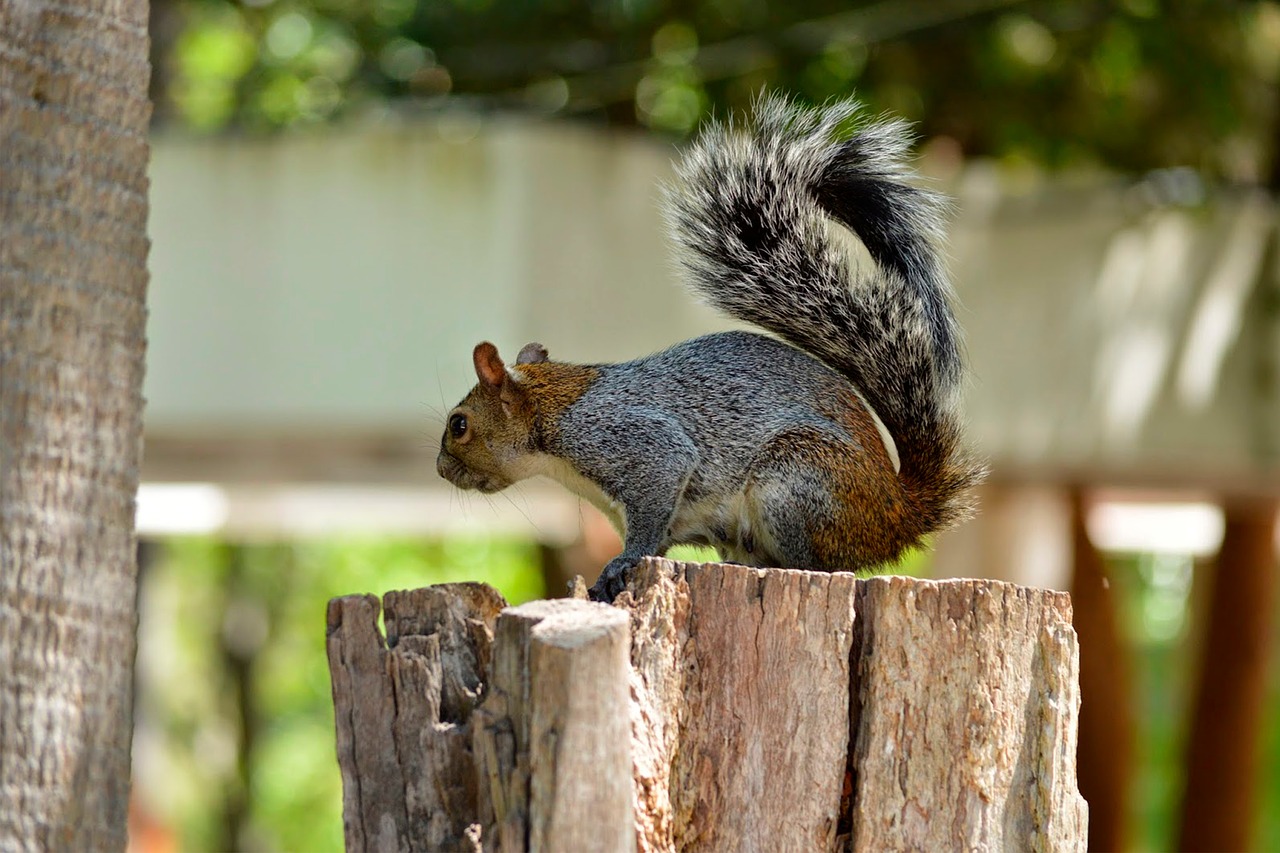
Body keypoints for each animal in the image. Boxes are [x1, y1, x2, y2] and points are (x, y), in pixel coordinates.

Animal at [435, 92, 983, 601]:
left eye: (459, 425)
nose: (441, 470)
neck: (551, 411)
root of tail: (897, 511)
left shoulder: (632, 442)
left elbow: (654, 505)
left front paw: (622, 563)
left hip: (800, 481)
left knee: (824, 564)